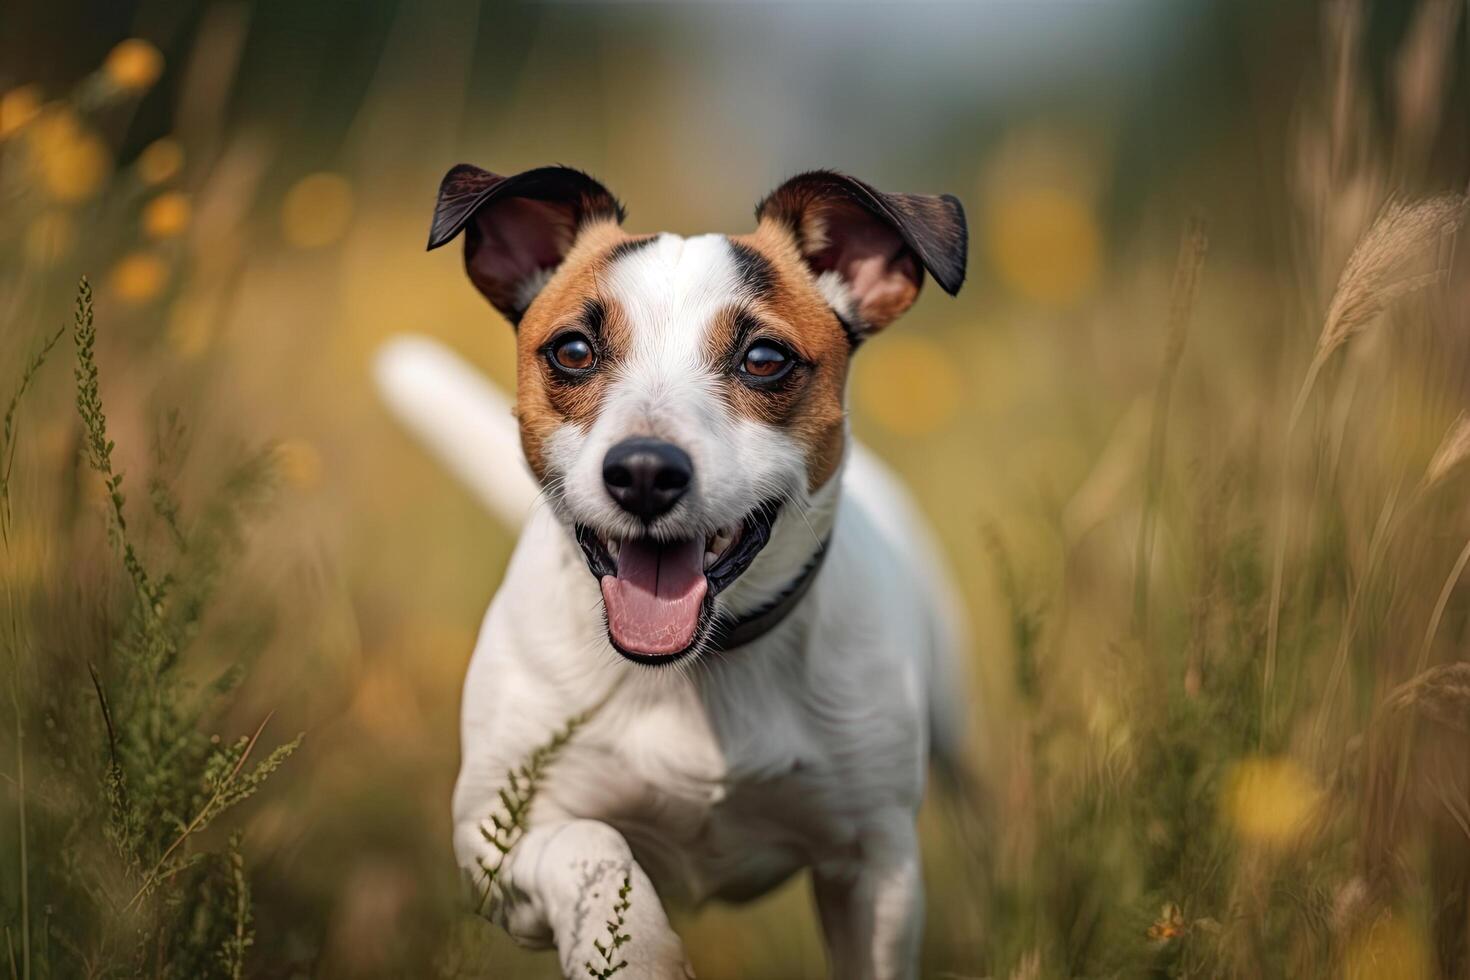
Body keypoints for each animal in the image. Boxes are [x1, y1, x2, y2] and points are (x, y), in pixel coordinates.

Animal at [379, 168, 976, 980]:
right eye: (573, 350)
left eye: (764, 359)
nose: (642, 472)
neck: (696, 673)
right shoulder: (494, 841)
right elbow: (590, 844)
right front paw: (629, 947)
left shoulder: (875, 867)